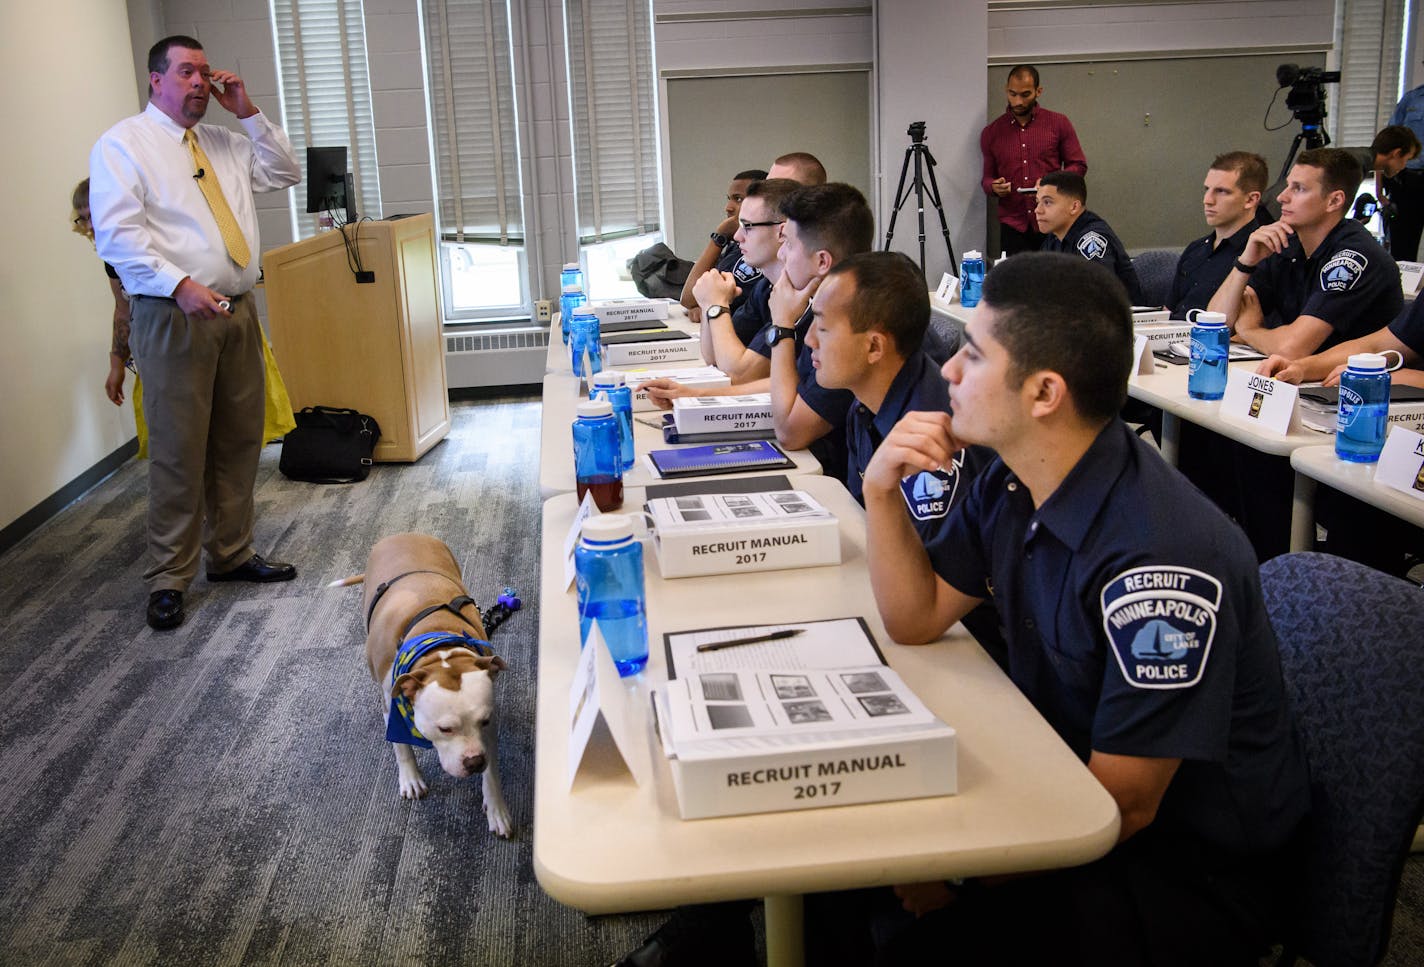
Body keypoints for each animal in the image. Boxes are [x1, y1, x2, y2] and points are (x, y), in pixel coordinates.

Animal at [331, 532, 512, 837]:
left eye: (484, 721)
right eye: (445, 729)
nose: (475, 762)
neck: (436, 644)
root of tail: (402, 534)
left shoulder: (489, 721)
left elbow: (494, 770)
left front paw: (497, 808)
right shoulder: (389, 699)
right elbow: (400, 746)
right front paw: (411, 778)